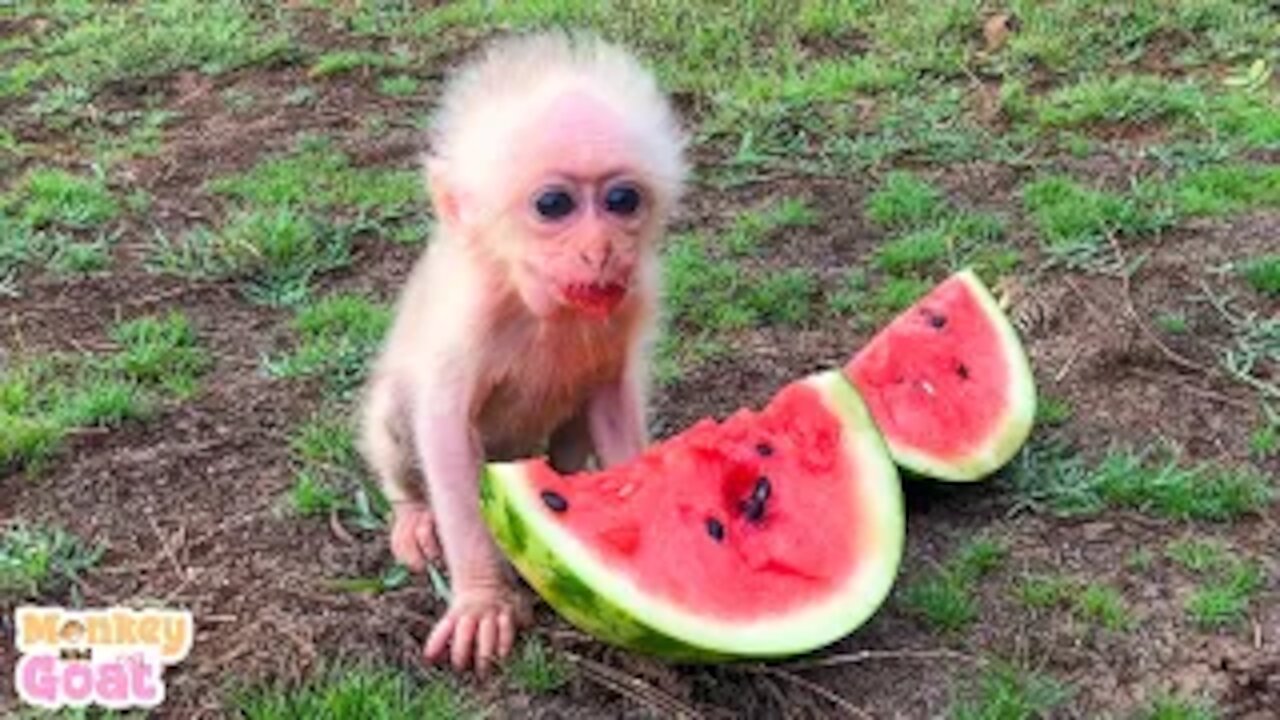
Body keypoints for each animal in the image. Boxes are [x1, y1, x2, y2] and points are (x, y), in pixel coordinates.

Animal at [355, 32, 686, 671]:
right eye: (553, 205)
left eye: (622, 199)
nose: (601, 248)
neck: (542, 308)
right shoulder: (470, 313)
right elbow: (445, 431)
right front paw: (483, 600)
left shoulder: (631, 298)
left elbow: (611, 404)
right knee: (400, 419)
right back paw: (413, 514)